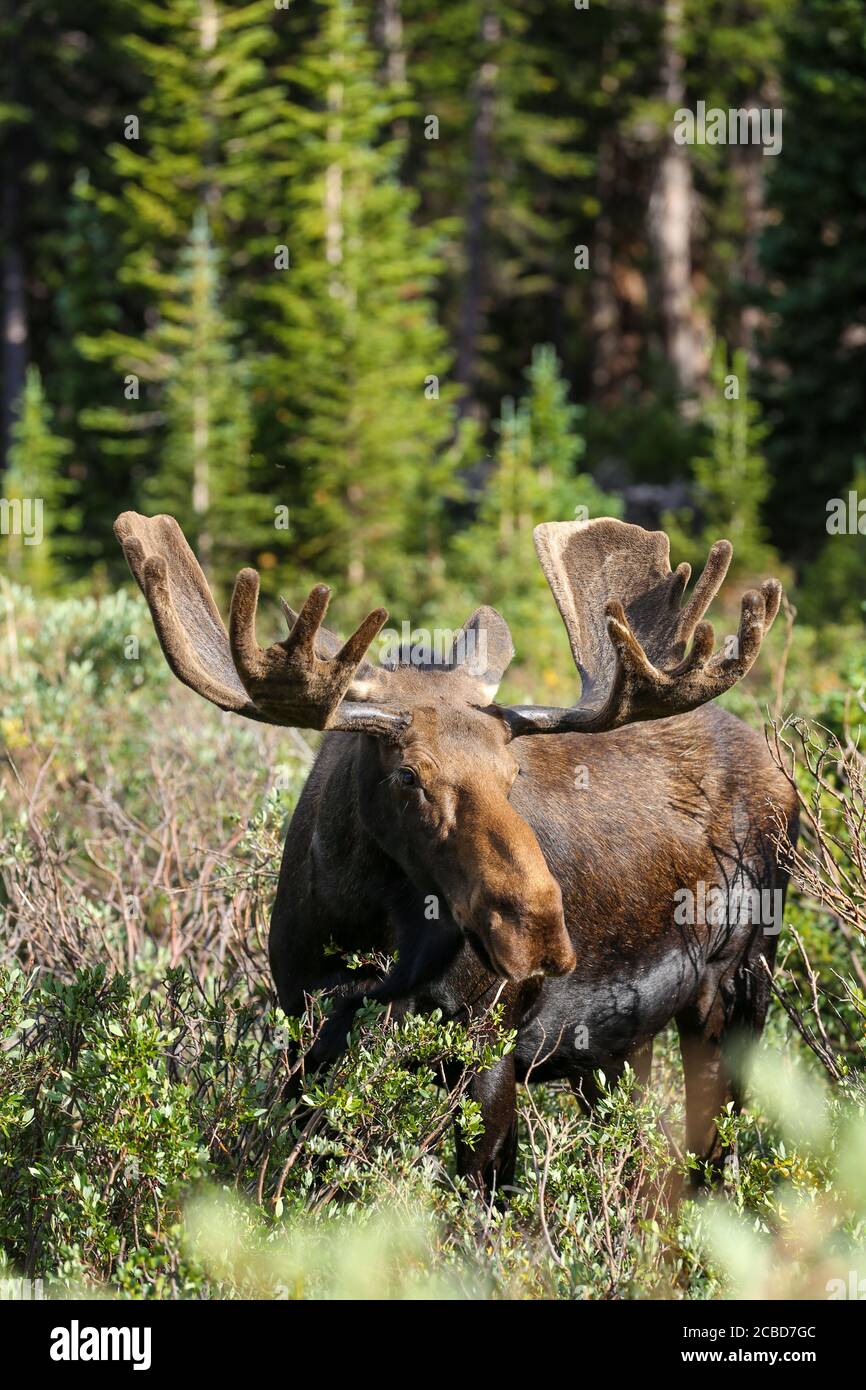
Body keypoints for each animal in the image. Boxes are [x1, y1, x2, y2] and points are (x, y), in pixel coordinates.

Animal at [116, 511, 800, 1195]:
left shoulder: (486, 1046)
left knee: (712, 1160)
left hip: (741, 985)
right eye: (409, 775)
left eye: (512, 772)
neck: (366, 934)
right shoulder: (304, 1034)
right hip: (622, 1044)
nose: (538, 929)